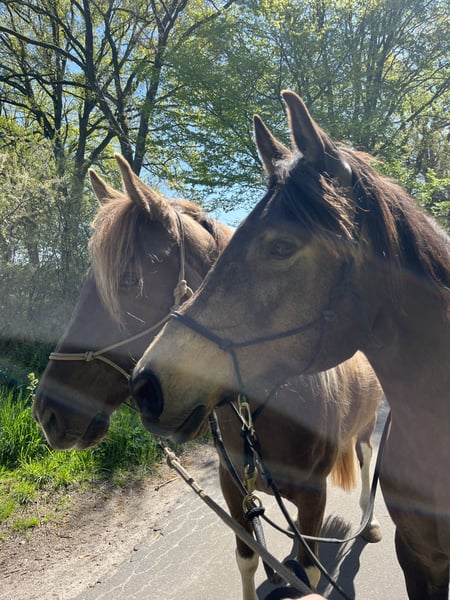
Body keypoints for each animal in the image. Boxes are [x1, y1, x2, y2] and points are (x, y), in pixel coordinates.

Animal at [32, 155, 383, 599]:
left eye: (128, 281)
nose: (47, 413)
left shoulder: (312, 496)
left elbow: (308, 573)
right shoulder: (234, 488)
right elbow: (249, 559)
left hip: (365, 428)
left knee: (367, 458)